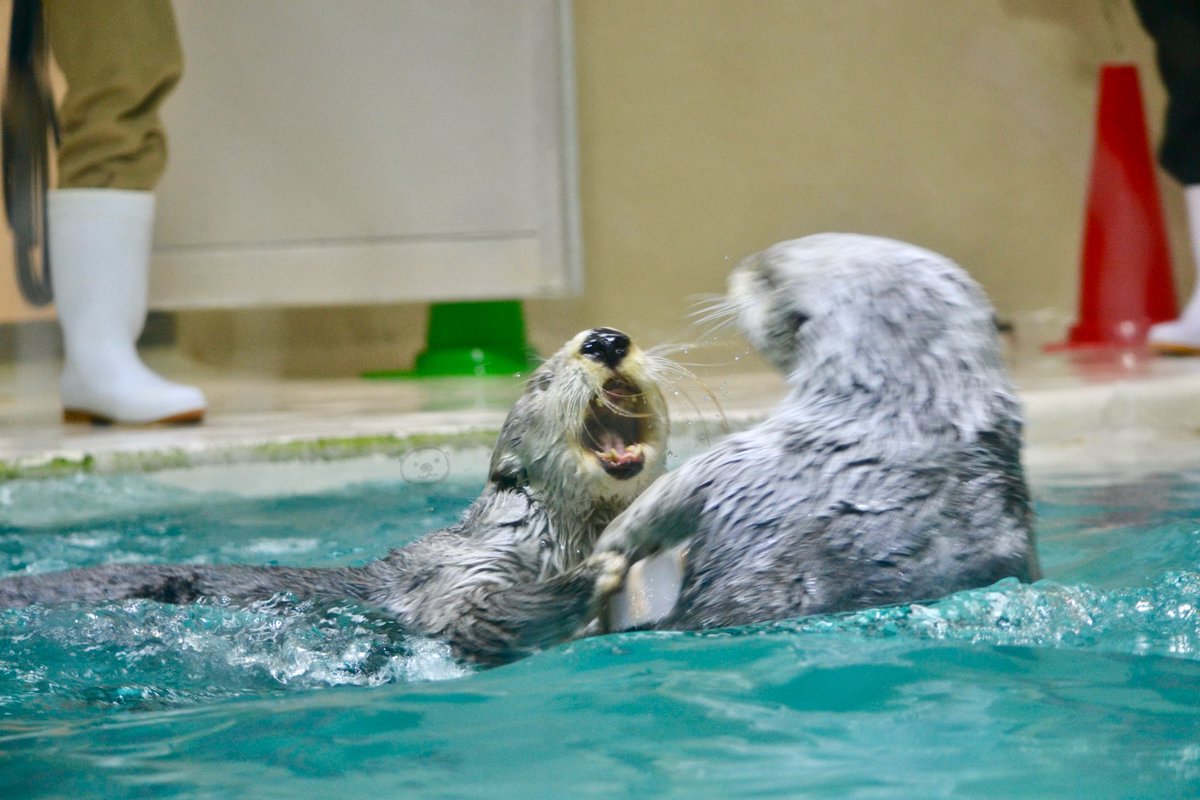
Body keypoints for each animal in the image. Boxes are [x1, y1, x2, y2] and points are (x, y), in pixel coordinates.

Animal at [0, 328, 676, 666]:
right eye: (541, 379)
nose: (605, 340)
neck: (550, 534)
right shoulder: (454, 574)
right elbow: (476, 617)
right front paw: (592, 575)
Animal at [595, 235, 1036, 633]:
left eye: (767, 278)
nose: (743, 267)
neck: (918, 409)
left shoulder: (744, 461)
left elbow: (663, 503)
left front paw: (609, 544)